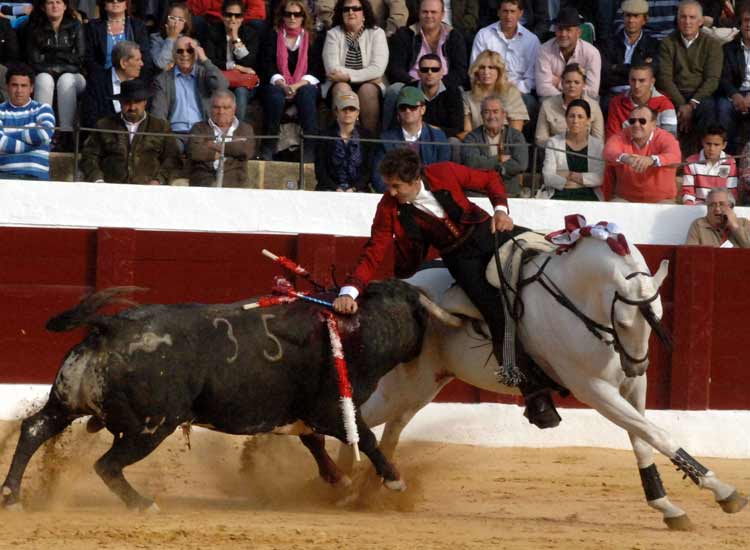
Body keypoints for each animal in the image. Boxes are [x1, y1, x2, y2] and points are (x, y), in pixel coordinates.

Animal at [1, 280, 434, 512]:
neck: (356, 330)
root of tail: (109, 326)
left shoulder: (304, 413)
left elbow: (313, 443)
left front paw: (338, 480)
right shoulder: (332, 409)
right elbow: (367, 439)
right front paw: (394, 481)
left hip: (66, 403)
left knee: (34, 429)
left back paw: (12, 497)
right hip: (152, 427)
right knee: (106, 465)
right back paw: (143, 504)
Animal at [344, 235, 748, 532]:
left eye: (658, 316)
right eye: (625, 319)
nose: (638, 364)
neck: (579, 300)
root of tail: (403, 287)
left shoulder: (632, 387)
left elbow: (641, 438)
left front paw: (666, 505)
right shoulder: (593, 389)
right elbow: (657, 434)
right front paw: (724, 490)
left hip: (421, 387)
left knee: (391, 427)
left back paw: (365, 489)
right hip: (399, 387)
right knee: (357, 414)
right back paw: (345, 483)